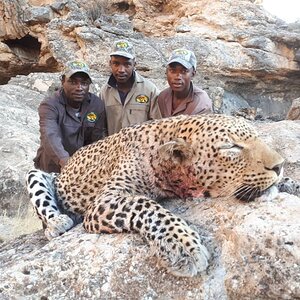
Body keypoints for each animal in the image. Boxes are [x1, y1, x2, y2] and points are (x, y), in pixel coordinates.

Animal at [25, 113, 284, 278]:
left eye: (257, 137)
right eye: (232, 147)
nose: (280, 165)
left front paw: (288, 182)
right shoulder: (104, 200)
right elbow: (146, 206)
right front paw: (181, 246)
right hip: (36, 174)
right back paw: (57, 223)